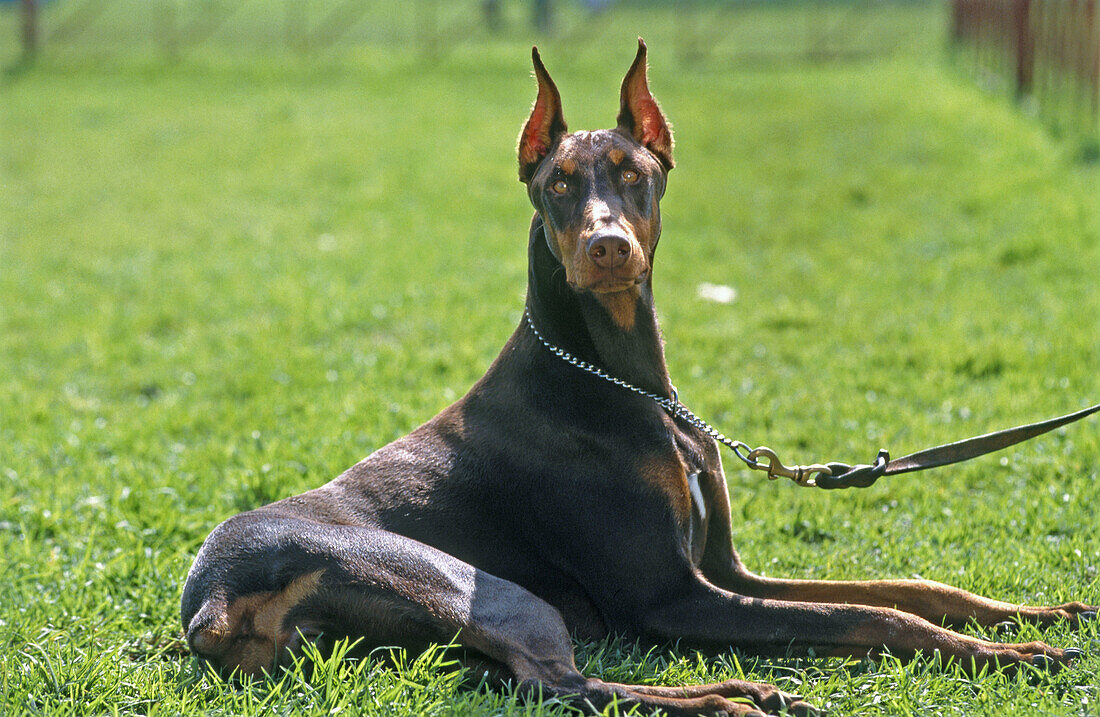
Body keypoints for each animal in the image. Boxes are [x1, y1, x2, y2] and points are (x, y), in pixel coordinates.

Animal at [184, 42, 1095, 712]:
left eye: (633, 173)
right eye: (558, 182)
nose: (607, 246)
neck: (627, 383)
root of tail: (209, 596)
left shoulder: (726, 572)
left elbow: (907, 585)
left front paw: (1034, 612)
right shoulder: (672, 597)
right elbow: (874, 613)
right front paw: (1013, 650)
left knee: (538, 682)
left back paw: (743, 690)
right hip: (470, 583)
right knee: (565, 687)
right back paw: (729, 698)